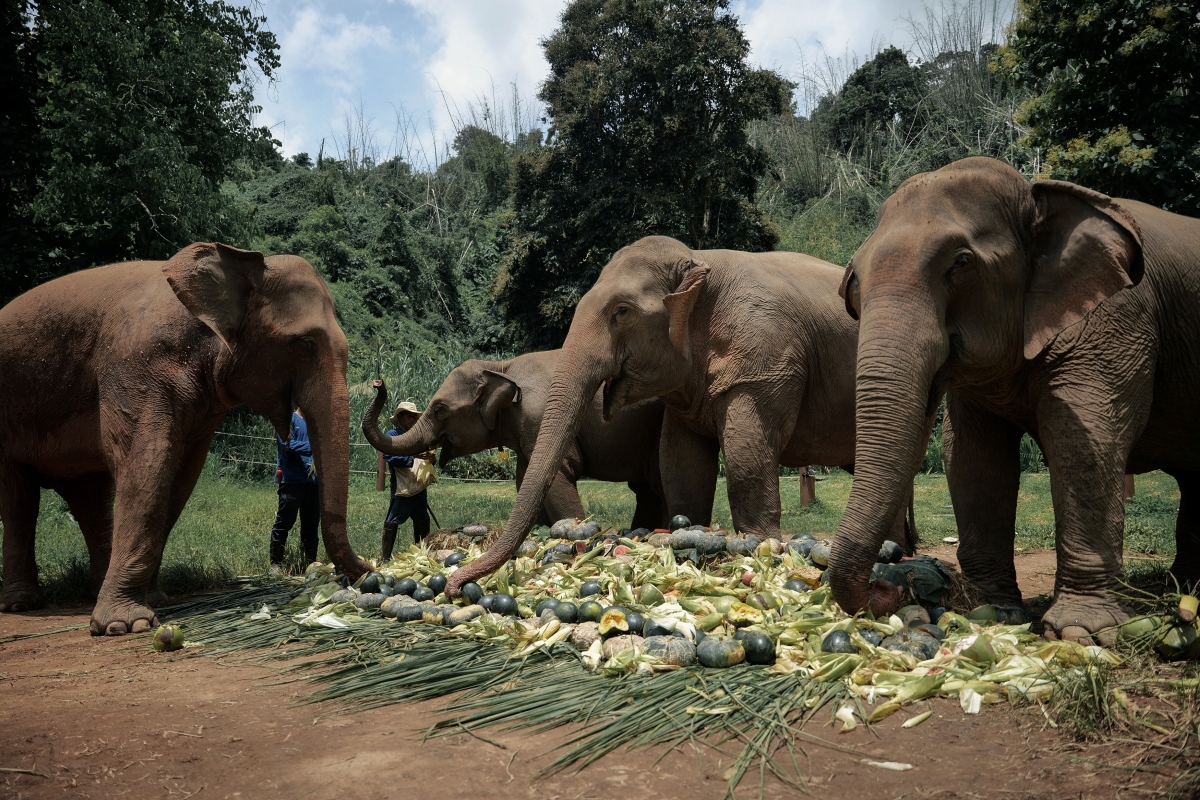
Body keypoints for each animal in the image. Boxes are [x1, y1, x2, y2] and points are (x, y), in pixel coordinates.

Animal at [0, 242, 370, 635]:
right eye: (305, 344)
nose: (369, 570)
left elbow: (181, 473)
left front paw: (153, 600)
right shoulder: (135, 366)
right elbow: (147, 462)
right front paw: (126, 625)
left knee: (89, 498)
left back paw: (95, 588)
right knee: (20, 499)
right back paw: (21, 603)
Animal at [362, 350, 668, 530]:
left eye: (439, 409)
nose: (378, 382)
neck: (501, 366)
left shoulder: (540, 417)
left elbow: (556, 479)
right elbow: (525, 480)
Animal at [447, 235, 915, 596]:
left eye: (621, 311)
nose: (454, 586)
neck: (697, 260)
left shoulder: (766, 361)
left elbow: (746, 456)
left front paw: (758, 549)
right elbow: (682, 464)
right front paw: (688, 534)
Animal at [826, 155, 1200, 642]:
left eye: (962, 262)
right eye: (854, 281)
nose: (893, 585)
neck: (1037, 196)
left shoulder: (1117, 323)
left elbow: (1084, 442)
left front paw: (1081, 632)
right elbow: (973, 457)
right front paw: (991, 611)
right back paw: (1184, 592)